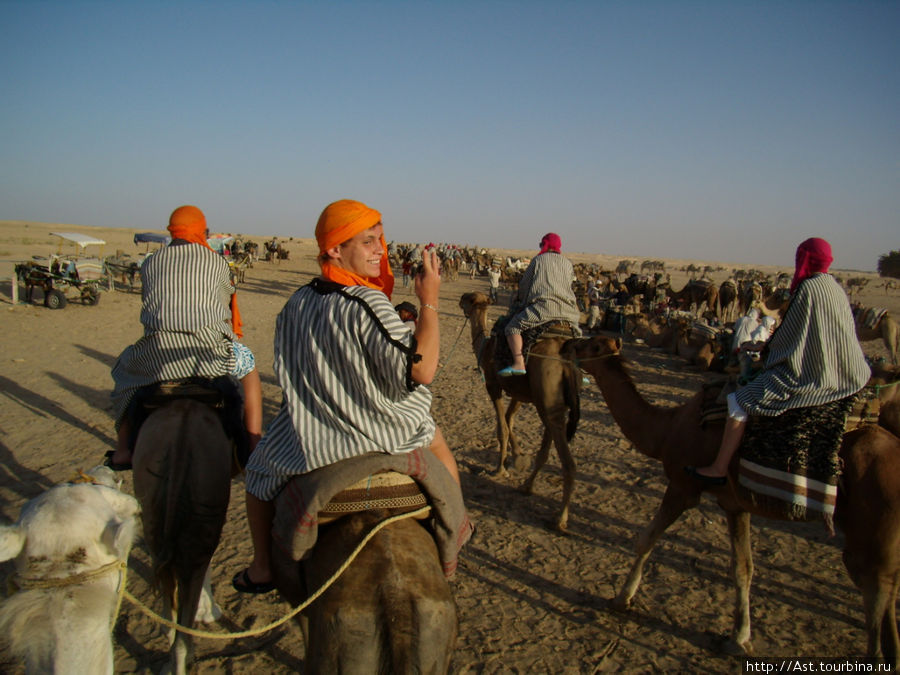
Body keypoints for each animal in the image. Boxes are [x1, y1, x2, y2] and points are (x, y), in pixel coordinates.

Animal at [460, 290, 588, 532]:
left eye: (469, 298)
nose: (460, 299)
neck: (486, 345)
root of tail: (566, 362)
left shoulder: (493, 385)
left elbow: (502, 428)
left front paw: (500, 469)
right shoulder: (519, 393)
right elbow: (509, 420)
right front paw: (518, 457)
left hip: (546, 398)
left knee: (568, 462)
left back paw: (560, 519)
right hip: (549, 402)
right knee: (547, 445)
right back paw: (527, 487)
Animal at [568, 336, 900, 664]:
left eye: (590, 344)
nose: (568, 345)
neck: (668, 429)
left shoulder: (683, 486)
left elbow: (646, 540)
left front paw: (621, 598)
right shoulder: (735, 504)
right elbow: (743, 568)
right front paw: (738, 638)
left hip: (871, 528)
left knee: (875, 589)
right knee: (887, 589)